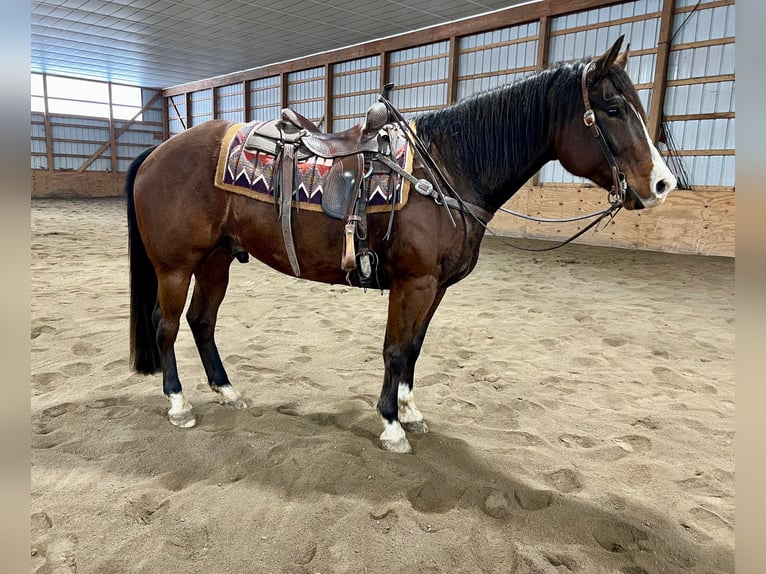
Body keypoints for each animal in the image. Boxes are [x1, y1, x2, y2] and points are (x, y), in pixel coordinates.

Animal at [126, 36, 680, 454]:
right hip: (176, 266)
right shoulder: (412, 283)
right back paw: (178, 403)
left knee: (202, 322)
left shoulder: (435, 287)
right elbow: (394, 350)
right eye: (612, 109)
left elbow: (413, 348)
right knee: (167, 327)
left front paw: (410, 412)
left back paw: (226, 390)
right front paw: (391, 425)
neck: (449, 169)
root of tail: (158, 152)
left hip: (216, 260)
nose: (661, 184)